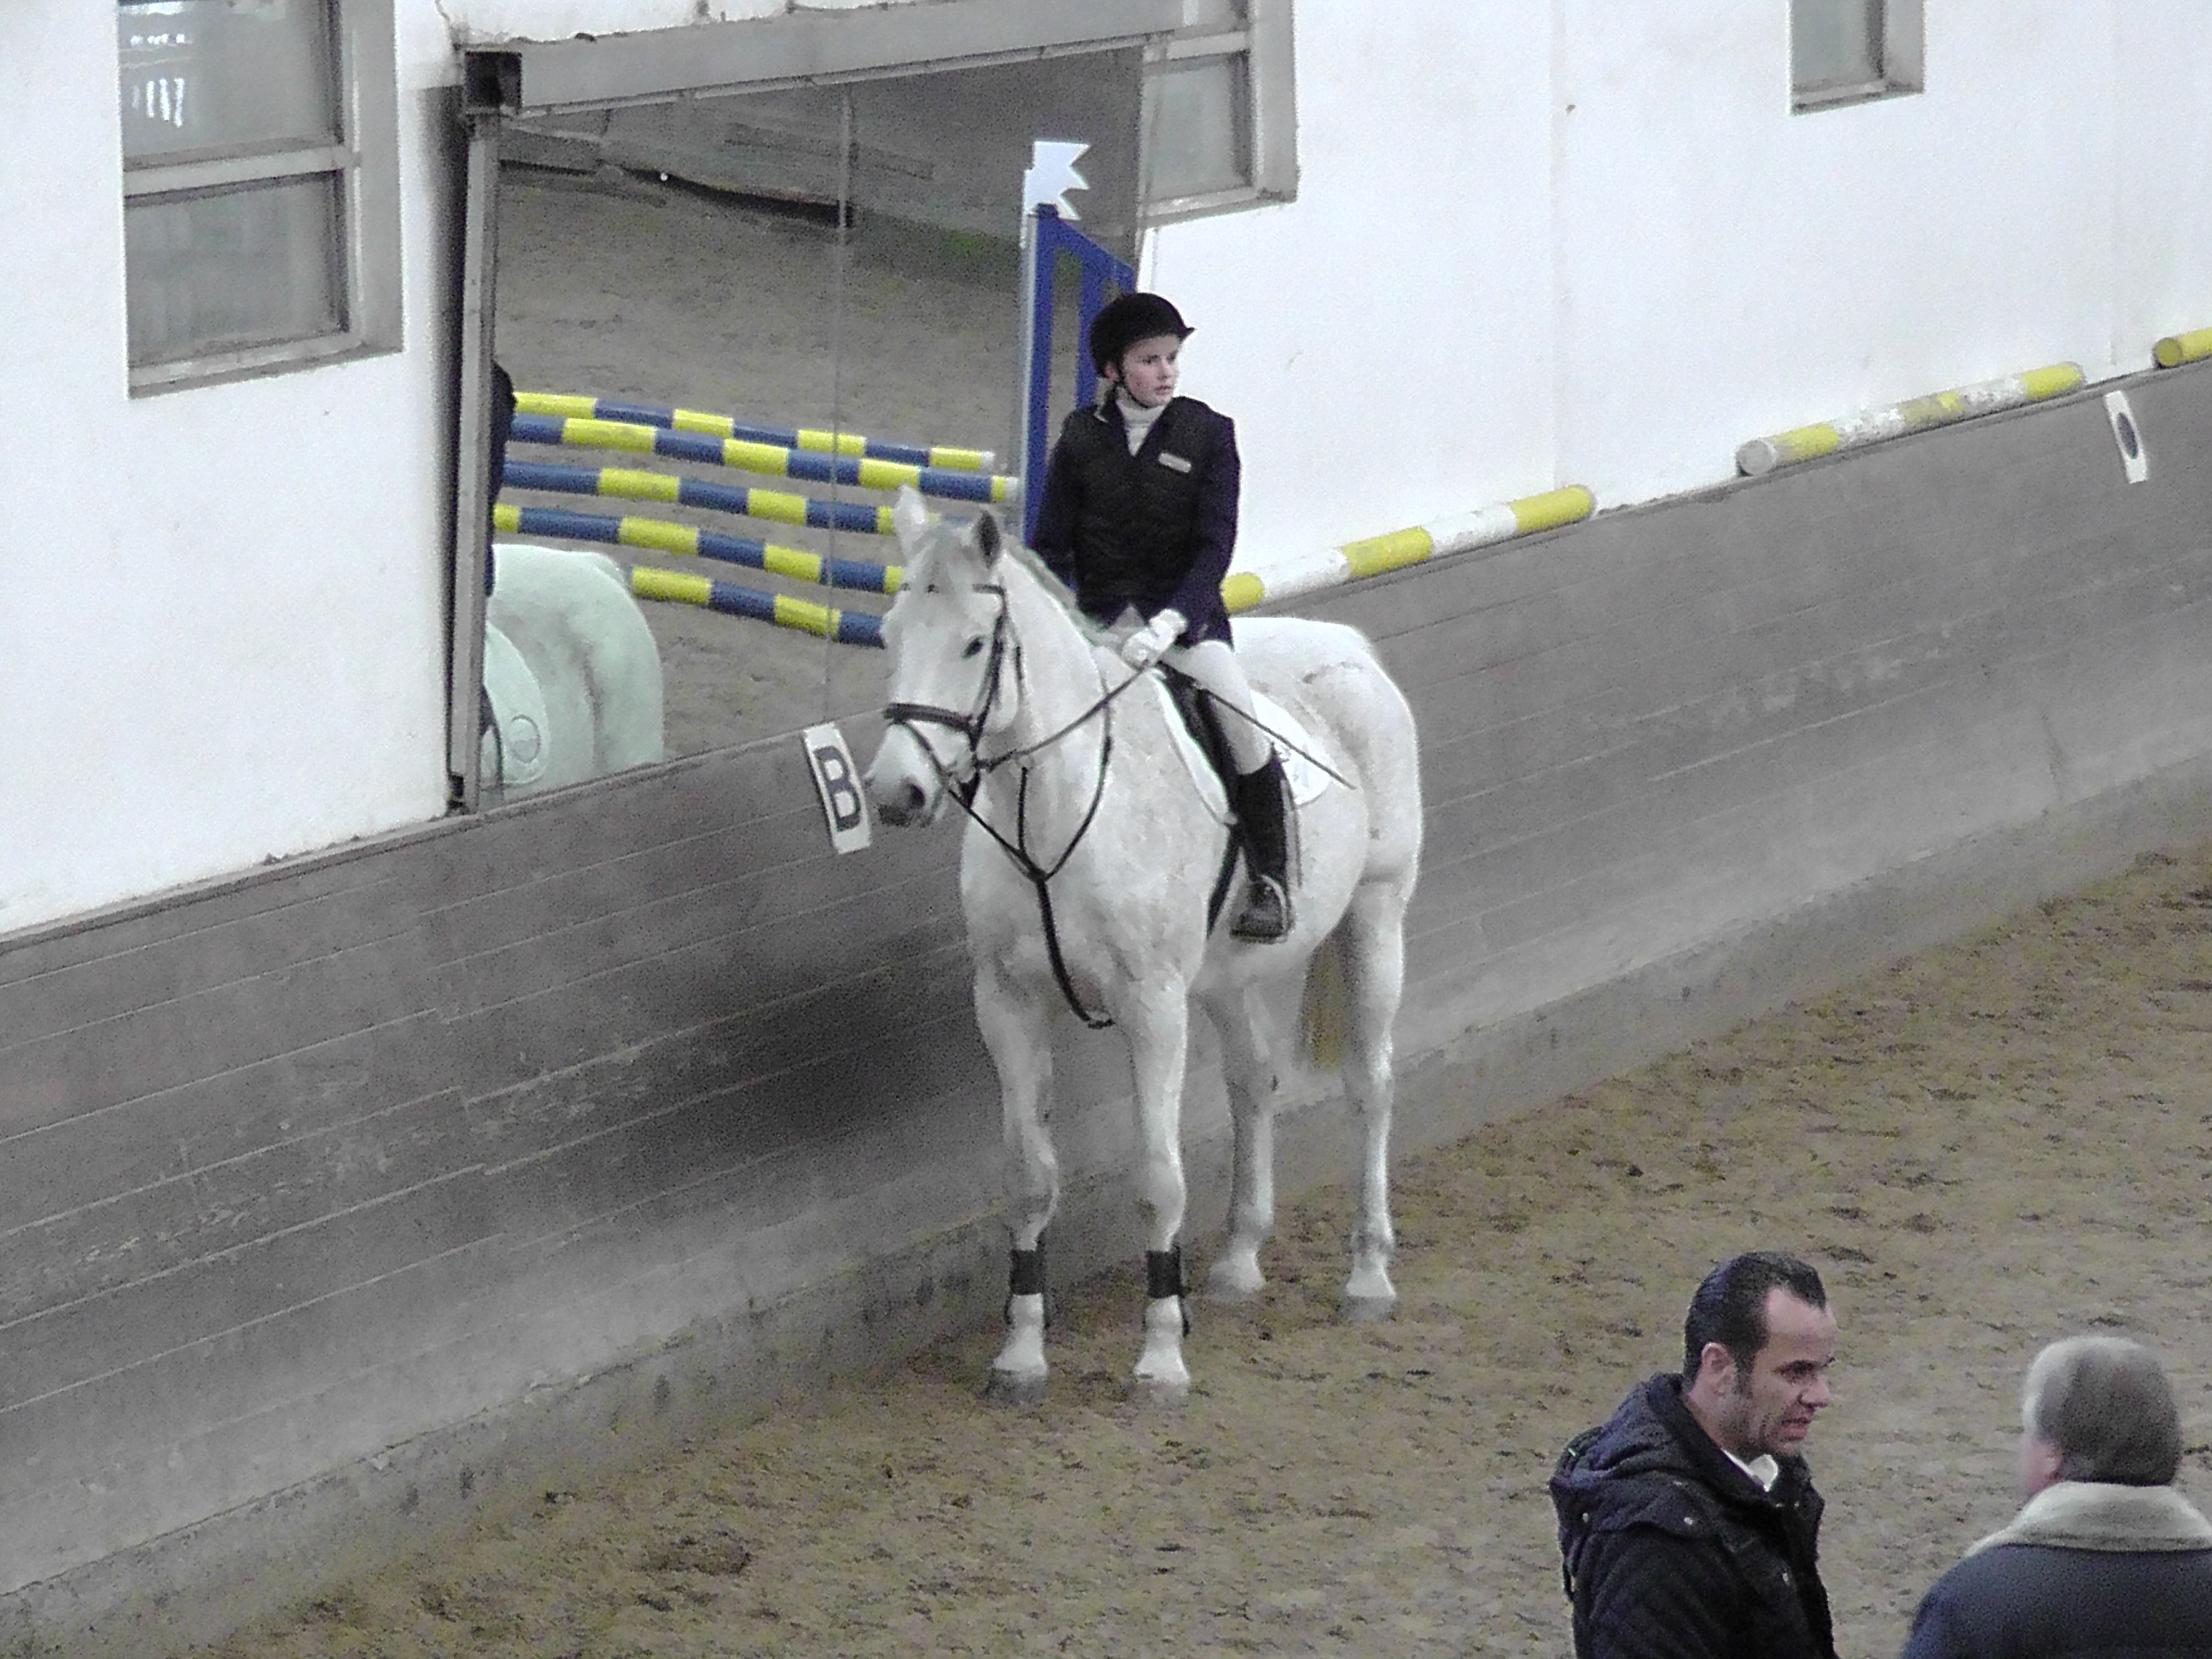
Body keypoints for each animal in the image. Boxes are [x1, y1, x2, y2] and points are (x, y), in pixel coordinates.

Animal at [862, 487, 1422, 1401]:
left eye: (975, 643)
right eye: (888, 635)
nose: (894, 793)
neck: (1049, 812)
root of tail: (1348, 647)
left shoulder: (1153, 1006)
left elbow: (1158, 1180)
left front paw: (1161, 1357)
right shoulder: (1006, 1003)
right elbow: (1028, 1177)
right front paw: (1021, 1355)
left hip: (1376, 915)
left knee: (1370, 1085)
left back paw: (1368, 1277)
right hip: (1228, 975)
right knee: (1252, 1080)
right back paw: (1237, 1262)